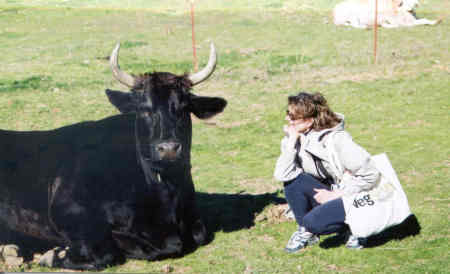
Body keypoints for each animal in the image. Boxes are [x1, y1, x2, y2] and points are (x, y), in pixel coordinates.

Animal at [0, 43, 225, 270]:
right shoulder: (67, 211)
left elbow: (197, 234)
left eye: (184, 107)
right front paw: (54, 254)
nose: (168, 148)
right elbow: (110, 251)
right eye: (144, 110)